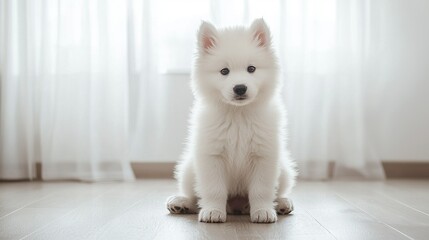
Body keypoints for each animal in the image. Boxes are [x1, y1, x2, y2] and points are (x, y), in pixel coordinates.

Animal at [166, 18, 296, 223]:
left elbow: (261, 189)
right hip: (188, 169)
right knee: (194, 196)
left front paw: (263, 211)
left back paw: (281, 203)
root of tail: (236, 206)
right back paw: (181, 202)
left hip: (284, 170)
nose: (240, 88)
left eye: (251, 69)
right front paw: (213, 211)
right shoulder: (211, 156)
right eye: (224, 71)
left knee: (277, 192)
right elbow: (214, 189)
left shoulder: (265, 156)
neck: (238, 115)